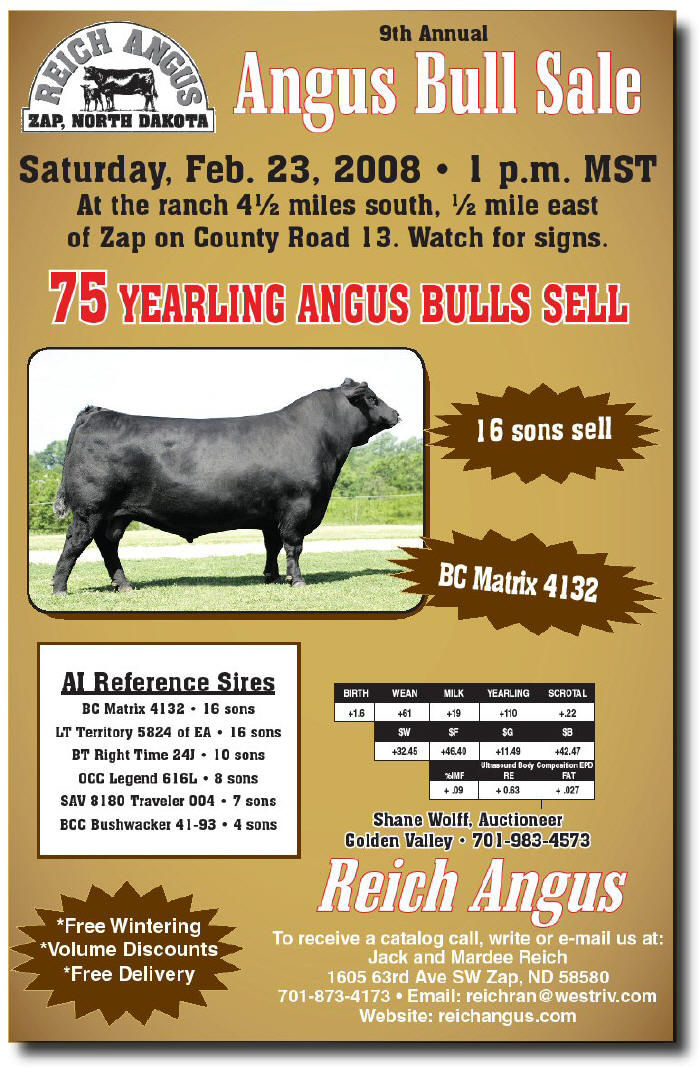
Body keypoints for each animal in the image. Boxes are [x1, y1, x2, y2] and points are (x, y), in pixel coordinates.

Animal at [51, 380, 400, 595]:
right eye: (371, 398)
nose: (396, 413)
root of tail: (97, 412)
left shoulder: (271, 515)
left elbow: (272, 546)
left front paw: (272, 577)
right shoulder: (297, 507)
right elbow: (293, 546)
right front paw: (297, 580)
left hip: (115, 515)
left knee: (107, 545)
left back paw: (123, 585)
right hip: (90, 510)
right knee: (74, 544)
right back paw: (59, 588)